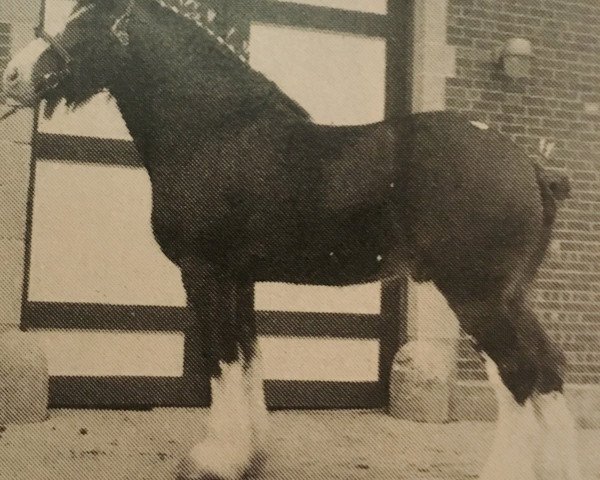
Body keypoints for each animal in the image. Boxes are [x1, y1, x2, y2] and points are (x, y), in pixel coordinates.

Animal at [2, 0, 584, 480]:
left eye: (86, 21)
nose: (12, 74)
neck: (216, 134)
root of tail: (530, 167)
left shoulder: (205, 272)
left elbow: (219, 359)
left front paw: (216, 460)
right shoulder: (240, 279)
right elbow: (247, 356)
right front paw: (249, 455)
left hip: (476, 296)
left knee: (519, 373)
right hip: (509, 297)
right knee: (548, 371)